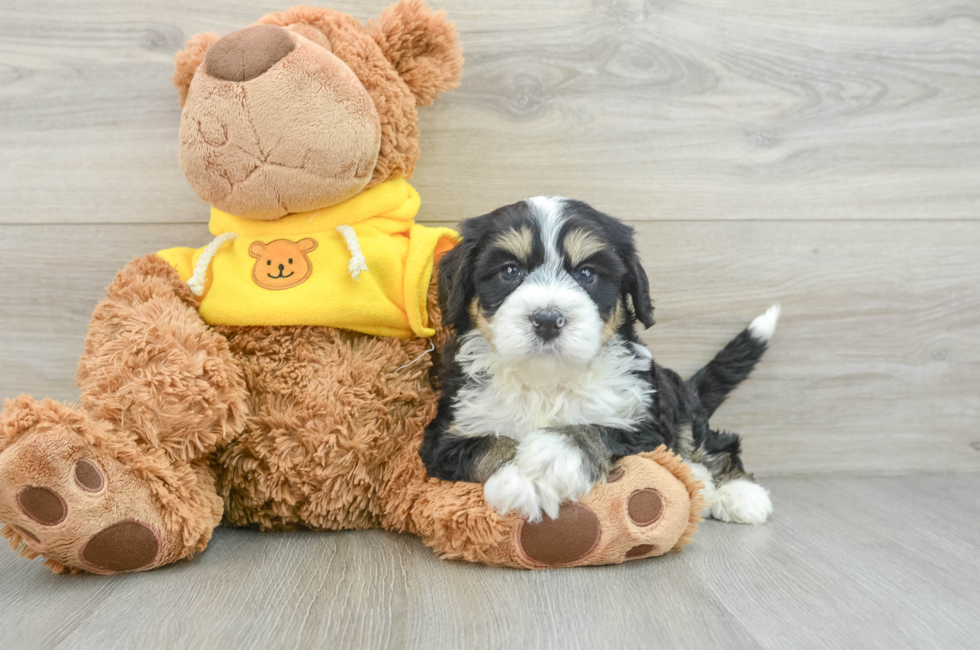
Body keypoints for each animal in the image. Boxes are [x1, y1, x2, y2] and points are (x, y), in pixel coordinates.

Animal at [422, 195, 780, 524]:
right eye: (510, 271)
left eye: (587, 273)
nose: (548, 320)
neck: (546, 379)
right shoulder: (446, 432)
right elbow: (487, 443)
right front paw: (518, 474)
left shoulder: (643, 425)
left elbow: (599, 429)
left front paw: (550, 460)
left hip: (678, 402)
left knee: (715, 444)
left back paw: (738, 492)